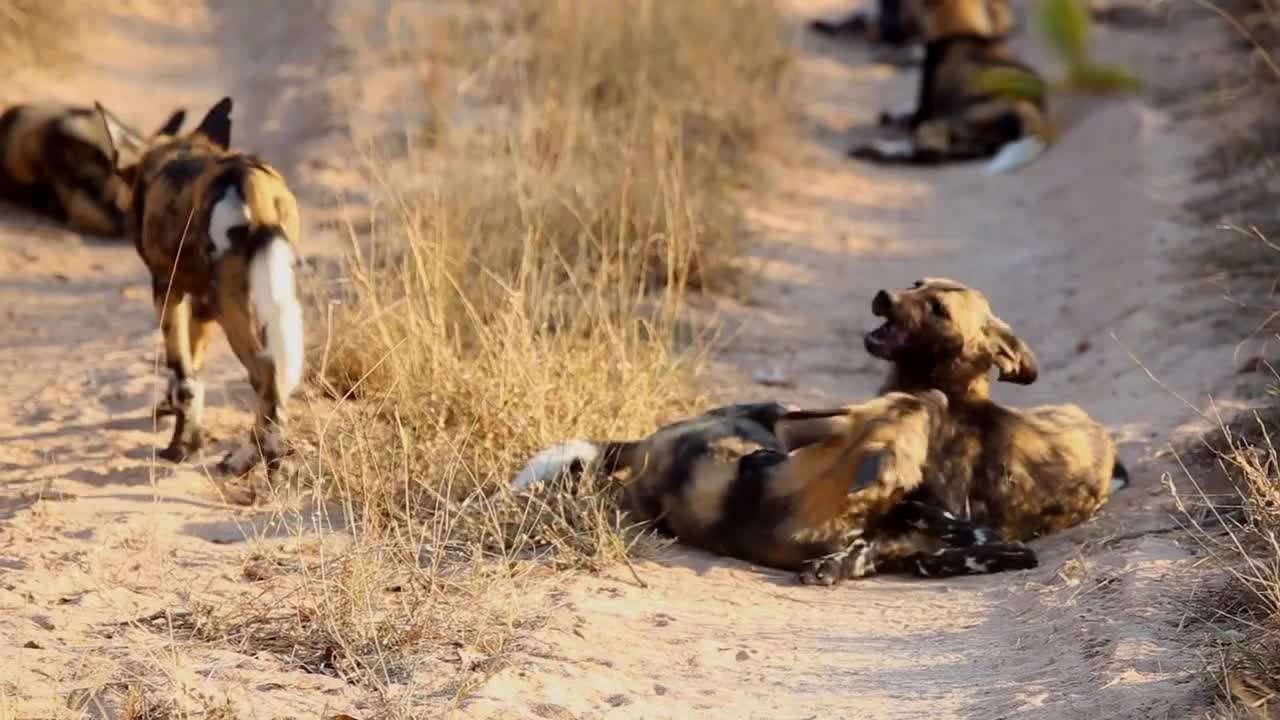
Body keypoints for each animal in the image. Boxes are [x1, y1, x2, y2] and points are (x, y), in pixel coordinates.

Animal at [98, 95, 303, 476]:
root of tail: (246, 178)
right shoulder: (200, 305)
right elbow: (196, 368)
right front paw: (187, 434)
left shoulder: (167, 292)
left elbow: (184, 377)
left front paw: (180, 447)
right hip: (262, 292)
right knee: (275, 380)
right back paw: (250, 457)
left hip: (231, 305)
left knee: (265, 372)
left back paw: (262, 458)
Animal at [509, 392, 1039, 584]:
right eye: (920, 414)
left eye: (909, 403)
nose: (938, 393)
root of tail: (643, 444)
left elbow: (941, 536)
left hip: (787, 413)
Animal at [839, 0, 1049, 174]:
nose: (887, 27)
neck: (963, 28)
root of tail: (1029, 112)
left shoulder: (923, 112)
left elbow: (911, 116)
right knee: (949, 153)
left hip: (940, 122)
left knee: (932, 155)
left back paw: (874, 151)